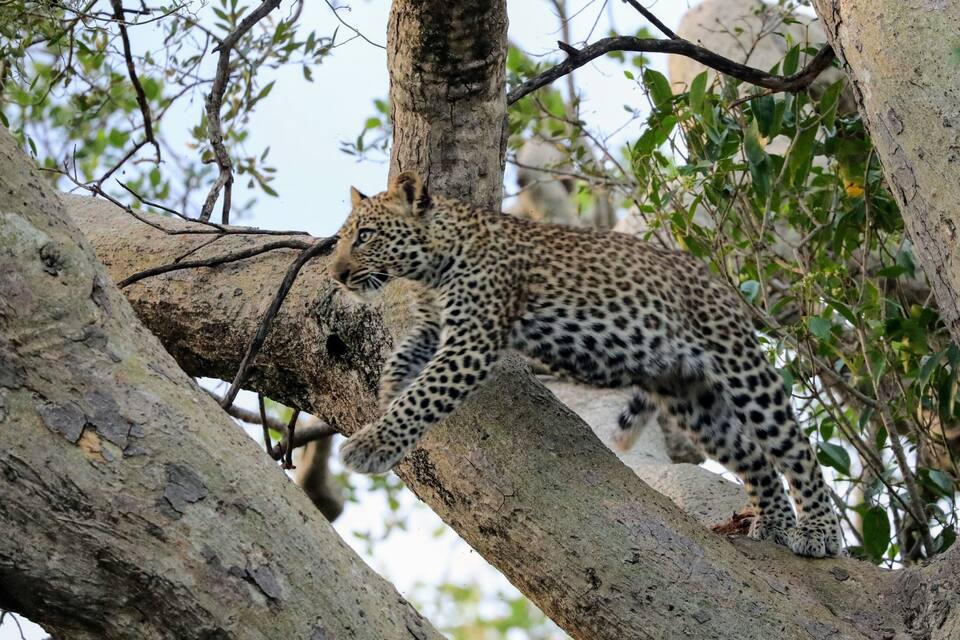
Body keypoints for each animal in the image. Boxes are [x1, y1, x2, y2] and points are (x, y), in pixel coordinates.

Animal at [328, 171, 843, 558]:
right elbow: (404, 364)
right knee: (753, 454)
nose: (336, 274)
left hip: (739, 366)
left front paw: (371, 444)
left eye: (365, 236)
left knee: (794, 445)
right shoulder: (434, 329)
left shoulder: (471, 340)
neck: (432, 265)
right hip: (692, 397)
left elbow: (426, 394)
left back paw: (818, 531)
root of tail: (714, 277)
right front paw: (387, 397)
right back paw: (773, 521)